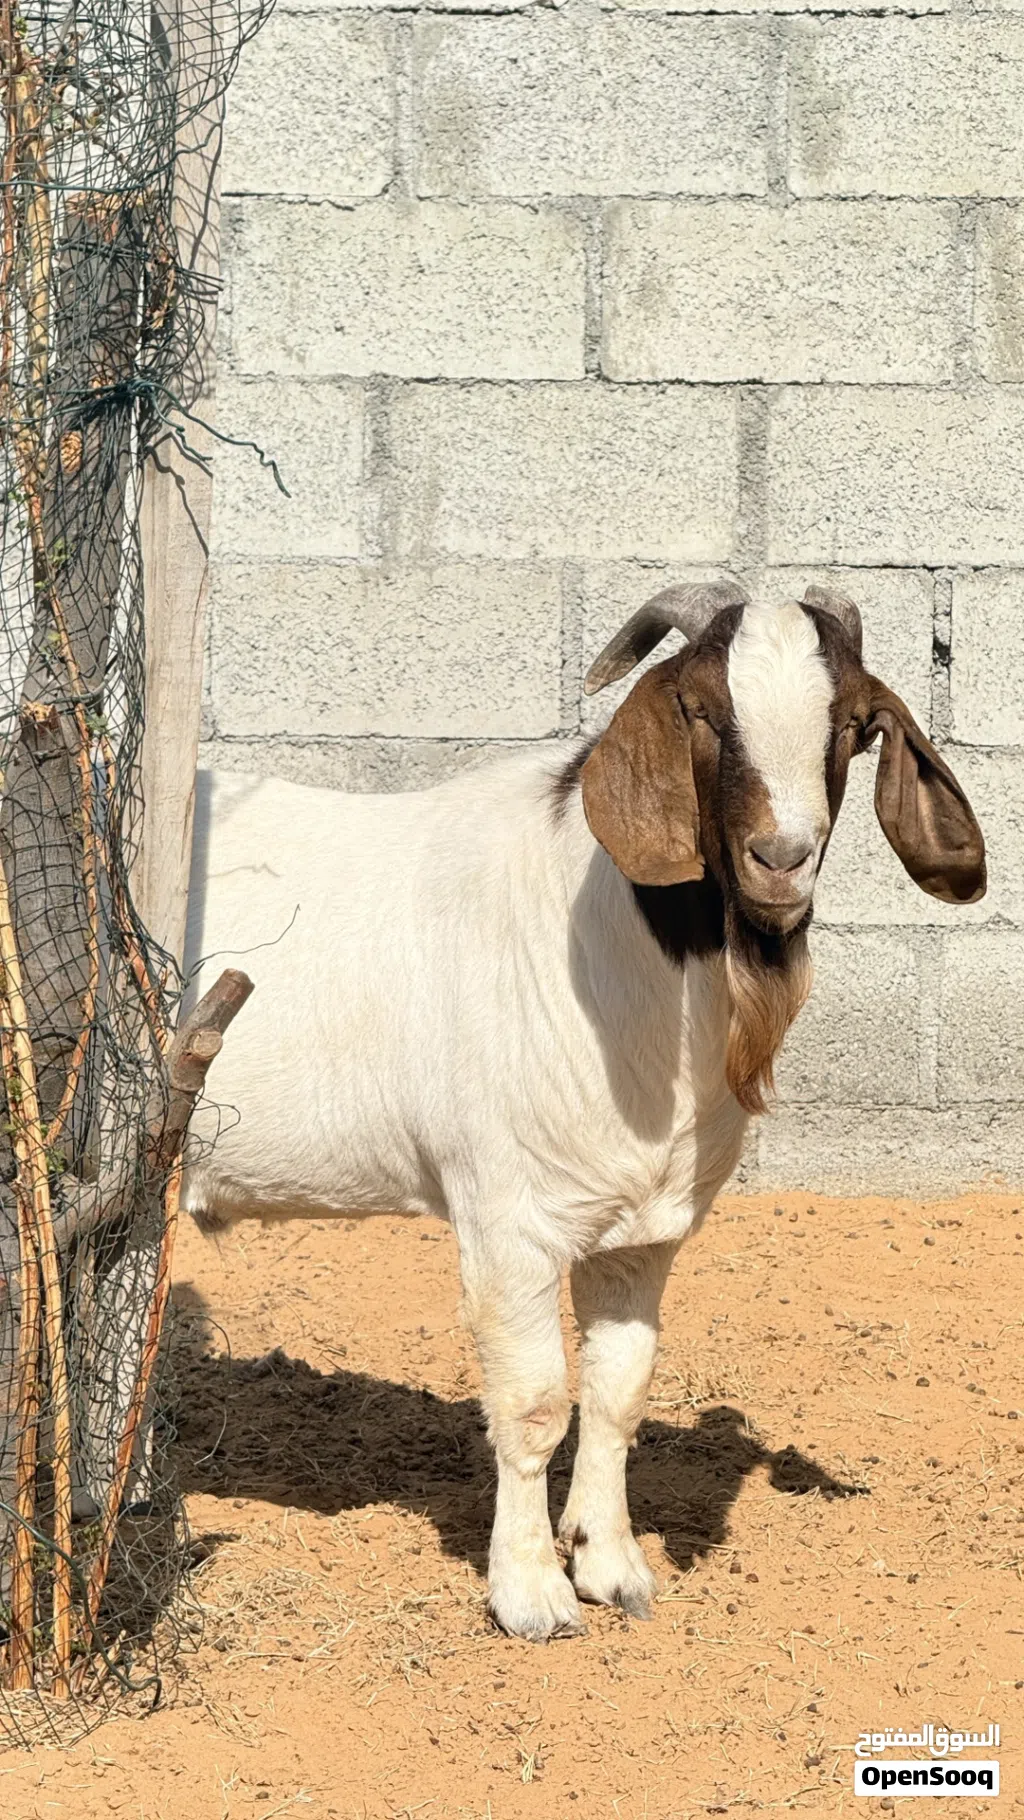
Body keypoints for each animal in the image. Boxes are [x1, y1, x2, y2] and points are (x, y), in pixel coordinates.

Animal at [183, 581, 985, 1641]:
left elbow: (616, 1396)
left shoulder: (643, 1233)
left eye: (853, 725)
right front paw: (531, 1594)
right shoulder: (509, 1220)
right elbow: (532, 1404)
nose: (780, 860)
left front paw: (610, 1567)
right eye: (699, 710)